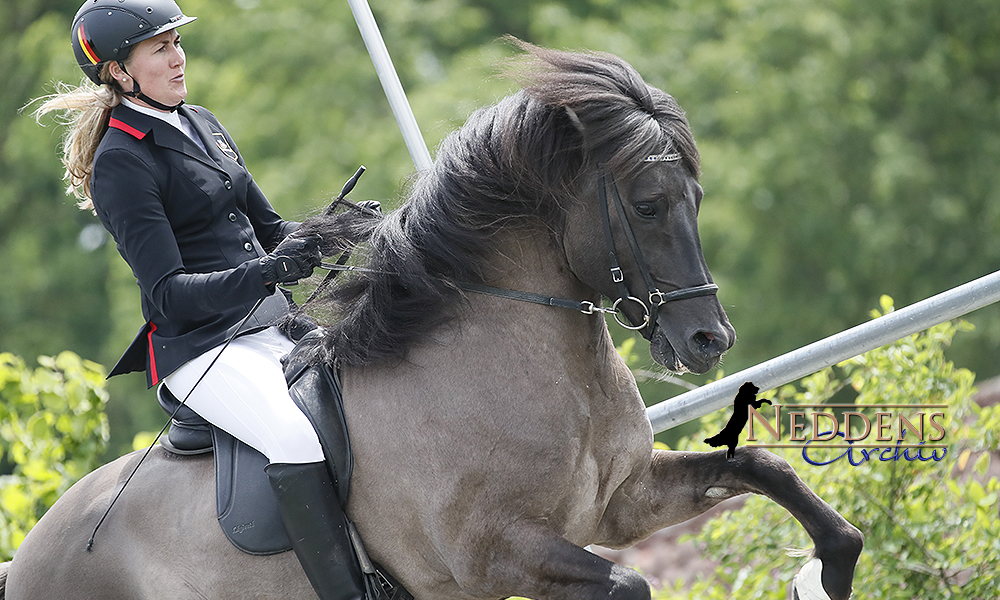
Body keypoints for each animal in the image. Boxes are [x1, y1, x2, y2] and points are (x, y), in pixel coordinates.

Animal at [0, 43, 860, 600]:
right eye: (648, 205)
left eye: (696, 199)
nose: (709, 341)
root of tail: (33, 552)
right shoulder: (497, 553)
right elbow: (627, 586)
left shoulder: (618, 504)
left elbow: (766, 470)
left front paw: (830, 569)